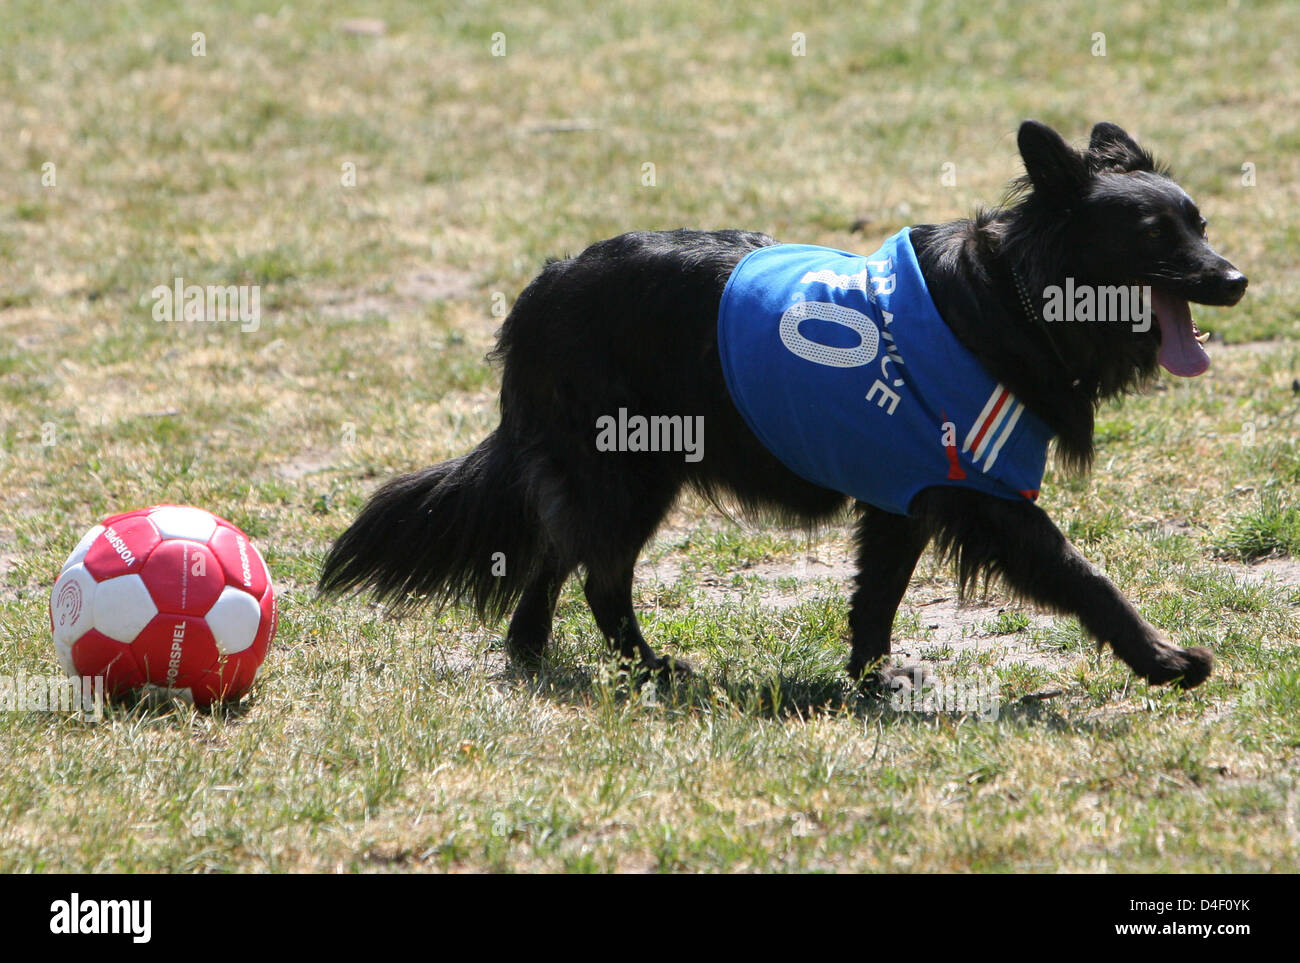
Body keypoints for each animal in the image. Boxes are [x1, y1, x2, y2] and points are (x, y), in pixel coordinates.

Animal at [319, 120, 1242, 686]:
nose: (1235, 278)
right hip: (628, 475)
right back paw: (649, 669)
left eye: (1199, 223)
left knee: (554, 559)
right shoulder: (987, 497)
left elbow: (876, 597)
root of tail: (542, 287)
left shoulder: (904, 499)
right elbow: (1086, 578)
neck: (1011, 297)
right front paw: (1162, 659)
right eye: (1153, 236)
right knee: (599, 577)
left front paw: (872, 675)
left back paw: (541, 655)